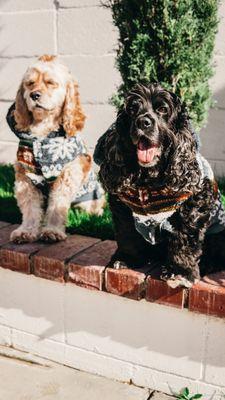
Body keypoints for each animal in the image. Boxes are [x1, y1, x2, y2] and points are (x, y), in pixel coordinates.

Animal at [7, 54, 104, 242]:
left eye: (51, 83)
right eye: (30, 83)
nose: (34, 95)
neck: (43, 135)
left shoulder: (65, 176)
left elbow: (57, 206)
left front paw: (52, 231)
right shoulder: (25, 177)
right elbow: (30, 209)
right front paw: (26, 231)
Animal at [94, 83, 225, 288]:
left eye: (163, 109)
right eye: (133, 109)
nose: (143, 123)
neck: (148, 178)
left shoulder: (193, 205)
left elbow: (185, 239)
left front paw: (180, 272)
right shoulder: (122, 205)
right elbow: (127, 234)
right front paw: (127, 258)